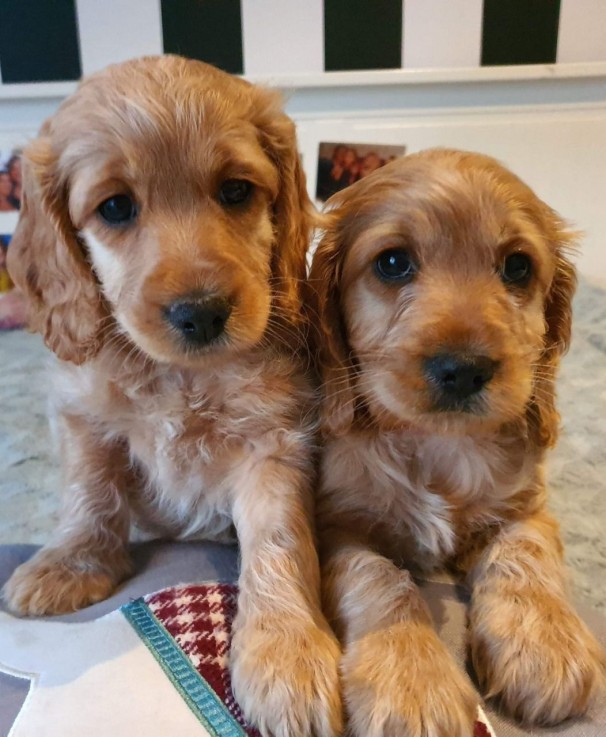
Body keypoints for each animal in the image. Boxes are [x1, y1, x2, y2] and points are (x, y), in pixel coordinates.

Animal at [3, 56, 342, 736]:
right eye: (115, 207)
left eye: (236, 191)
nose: (201, 312)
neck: (180, 376)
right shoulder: (84, 412)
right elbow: (88, 489)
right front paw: (71, 562)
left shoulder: (276, 438)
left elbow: (280, 542)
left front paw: (288, 653)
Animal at [312, 150, 604, 736]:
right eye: (393, 262)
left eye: (518, 267)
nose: (464, 369)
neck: (439, 445)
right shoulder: (337, 527)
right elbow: (382, 578)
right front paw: (413, 684)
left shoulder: (527, 506)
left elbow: (526, 556)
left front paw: (546, 649)